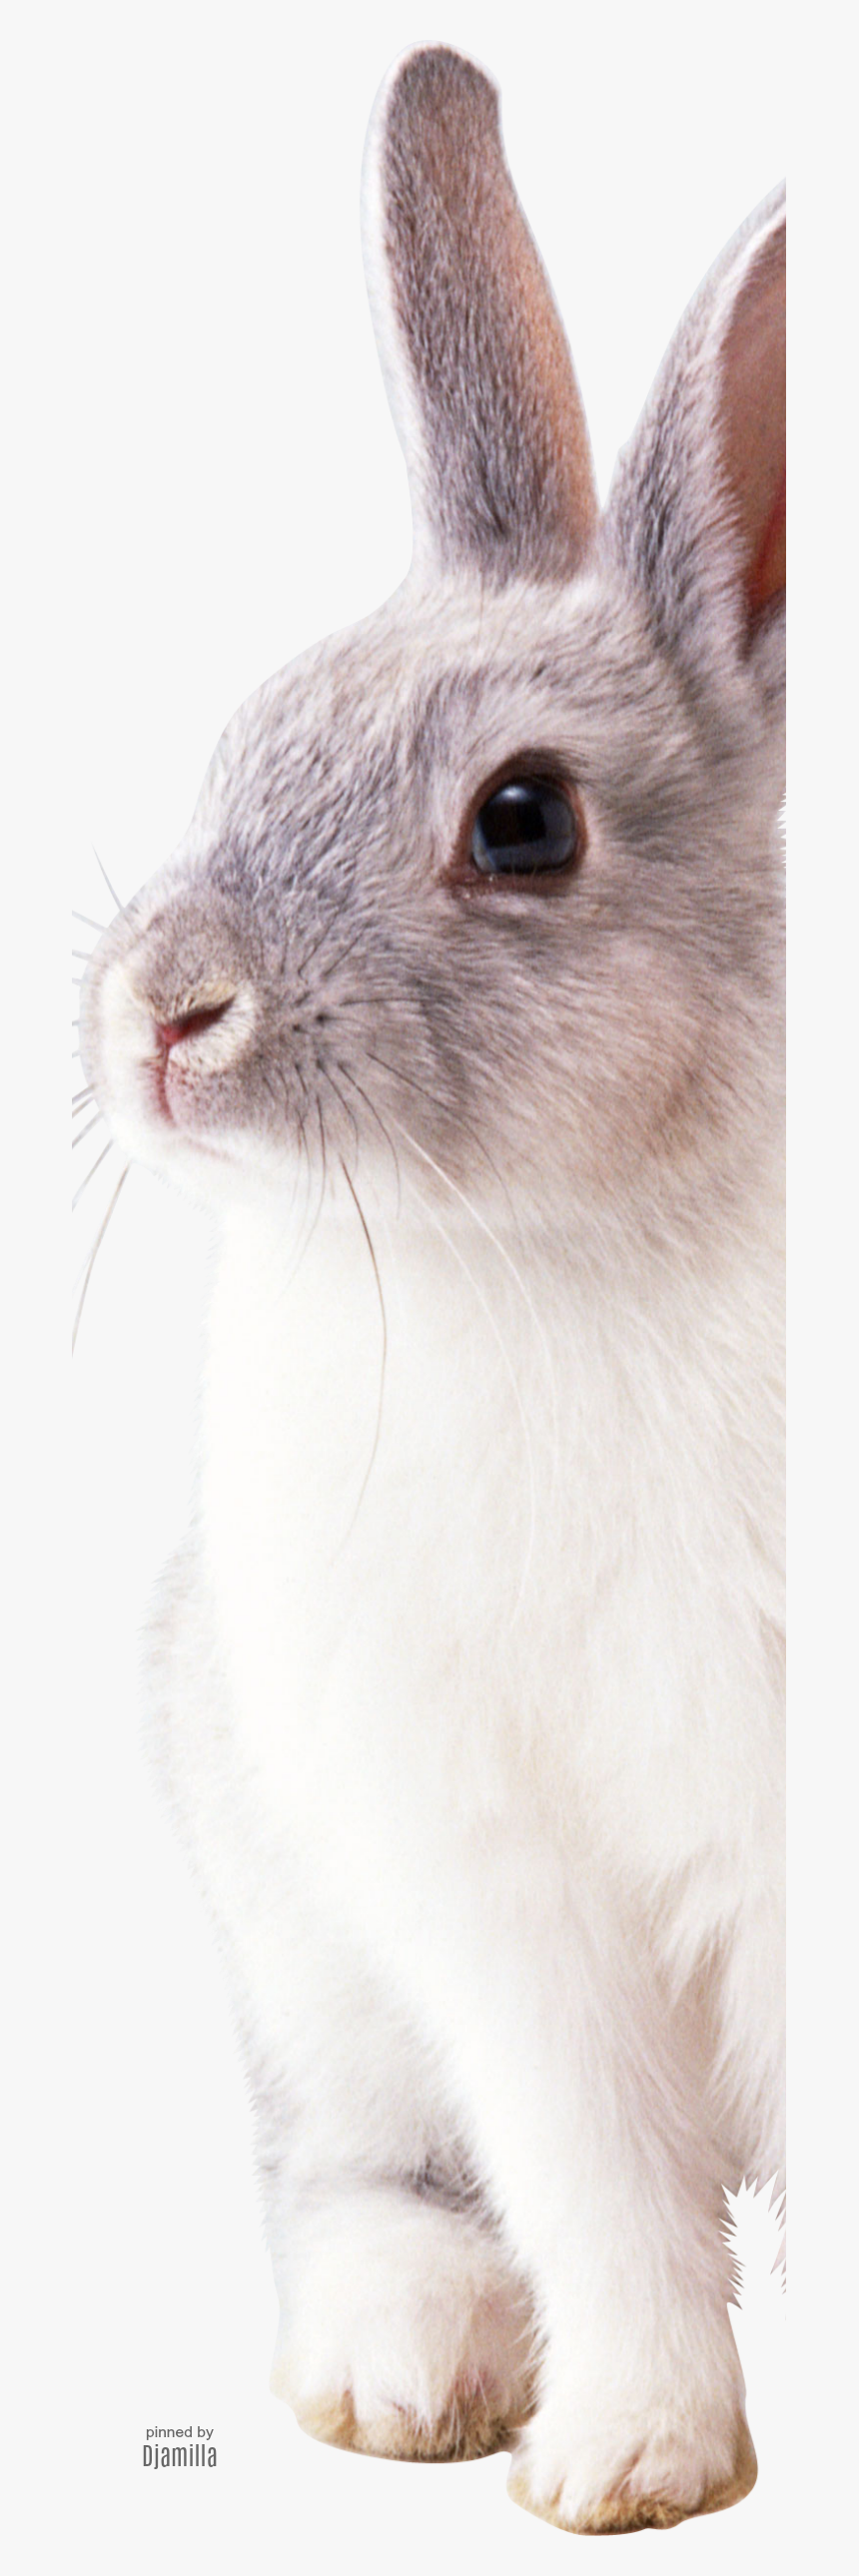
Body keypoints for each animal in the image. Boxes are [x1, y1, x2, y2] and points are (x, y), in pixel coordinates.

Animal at [79, 43, 784, 2538]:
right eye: (247, 734)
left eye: (523, 822)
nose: (159, 1012)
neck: (541, 1250)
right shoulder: (498, 1899)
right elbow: (595, 2182)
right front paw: (628, 2465)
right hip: (306, 1937)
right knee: (363, 2171)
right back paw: (402, 2373)